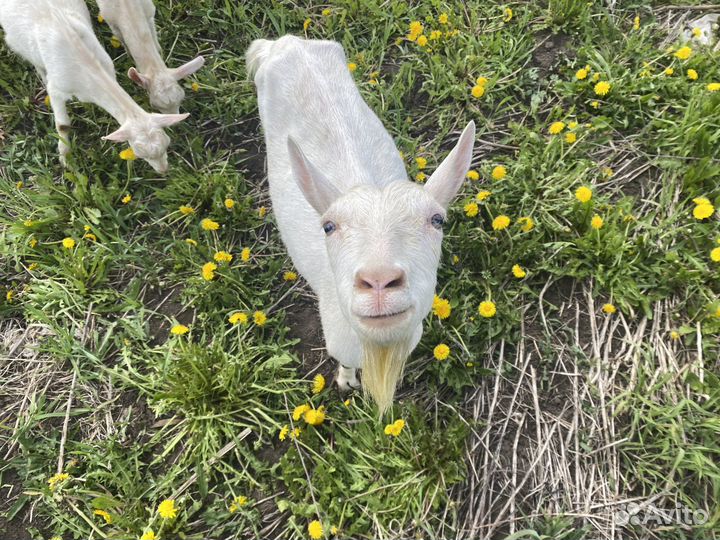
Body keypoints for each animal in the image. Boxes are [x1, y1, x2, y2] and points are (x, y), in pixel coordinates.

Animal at [0, 0, 188, 173]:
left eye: (167, 144)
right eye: (139, 154)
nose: (163, 171)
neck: (85, 65)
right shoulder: (57, 89)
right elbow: (62, 125)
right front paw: (65, 158)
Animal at [247, 36, 475, 413]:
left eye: (437, 220)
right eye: (328, 226)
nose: (379, 282)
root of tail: (285, 42)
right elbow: (345, 364)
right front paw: (345, 382)